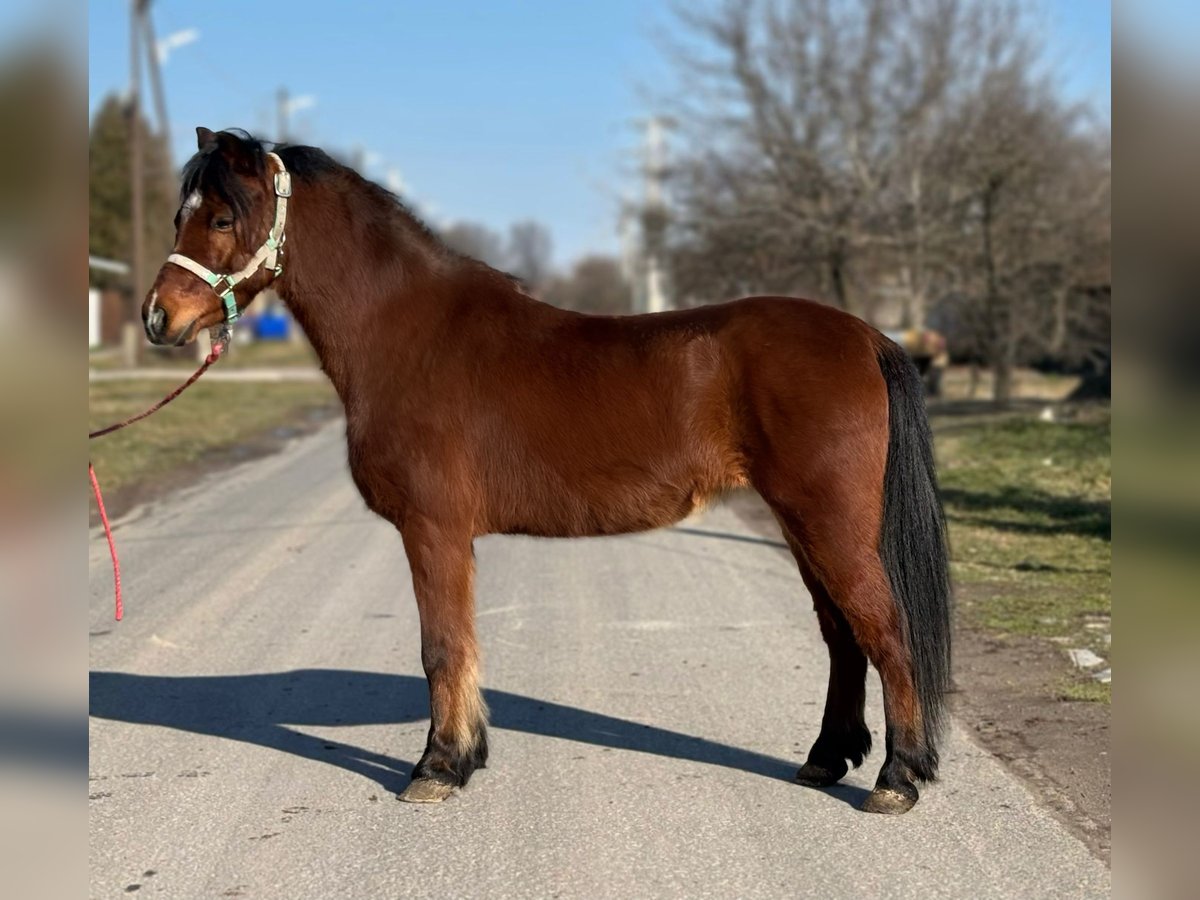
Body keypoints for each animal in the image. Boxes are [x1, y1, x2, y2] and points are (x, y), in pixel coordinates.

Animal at [140, 128, 950, 816]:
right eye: (184, 213)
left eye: (221, 217)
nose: (158, 319)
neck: (407, 335)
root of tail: (866, 335)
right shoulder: (448, 536)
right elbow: (461, 646)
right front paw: (466, 755)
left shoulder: (432, 529)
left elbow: (441, 648)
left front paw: (437, 768)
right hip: (802, 523)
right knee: (843, 636)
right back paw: (826, 759)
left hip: (829, 522)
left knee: (885, 630)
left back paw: (897, 778)